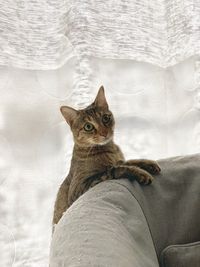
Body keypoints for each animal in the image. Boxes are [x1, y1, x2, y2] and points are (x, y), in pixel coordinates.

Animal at [52, 86, 160, 226]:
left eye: (105, 118)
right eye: (88, 126)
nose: (104, 133)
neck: (109, 149)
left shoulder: (119, 160)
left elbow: (128, 161)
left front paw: (149, 164)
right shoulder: (80, 187)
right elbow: (114, 169)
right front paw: (141, 173)